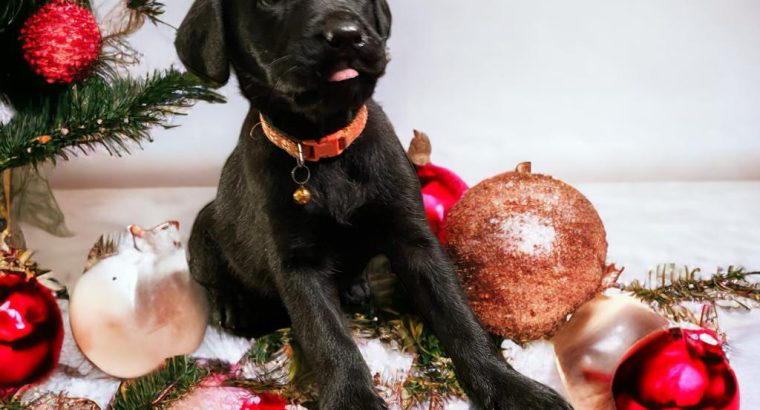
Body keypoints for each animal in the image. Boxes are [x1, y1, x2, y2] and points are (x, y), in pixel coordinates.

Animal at [175, 0, 572, 410]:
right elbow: (328, 336)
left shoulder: (415, 241)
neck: (326, 150)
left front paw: (509, 386)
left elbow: (460, 318)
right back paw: (231, 305)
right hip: (204, 229)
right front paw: (353, 398)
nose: (346, 34)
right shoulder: (297, 265)